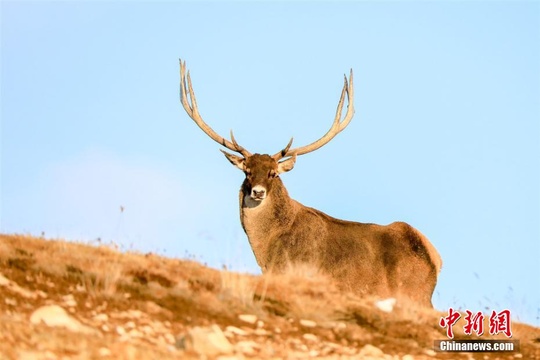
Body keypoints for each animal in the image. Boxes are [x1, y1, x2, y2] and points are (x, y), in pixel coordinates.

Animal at [179, 59, 440, 306]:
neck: (267, 249)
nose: (258, 192)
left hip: (413, 294)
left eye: (273, 173)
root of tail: (435, 259)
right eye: (247, 172)